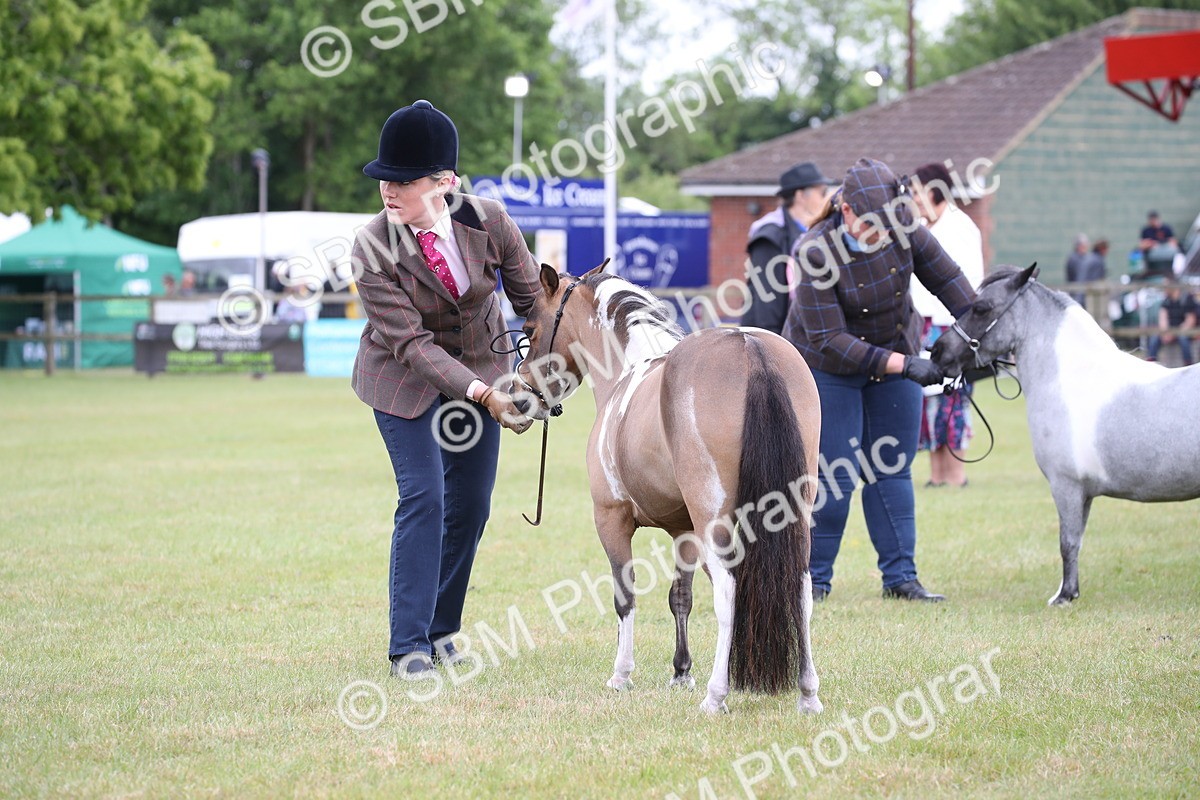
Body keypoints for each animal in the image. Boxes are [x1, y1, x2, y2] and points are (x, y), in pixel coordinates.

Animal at [512, 263, 823, 715]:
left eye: (530, 330)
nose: (520, 399)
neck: (627, 374)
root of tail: (749, 347)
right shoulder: (684, 530)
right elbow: (681, 596)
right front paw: (681, 672)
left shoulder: (611, 518)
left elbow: (625, 596)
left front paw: (621, 674)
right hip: (793, 513)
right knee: (801, 588)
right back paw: (808, 694)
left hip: (716, 522)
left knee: (728, 592)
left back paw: (716, 695)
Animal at [931, 264, 1200, 605]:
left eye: (981, 308)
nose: (937, 352)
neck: (1071, 379)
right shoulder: (1083, 493)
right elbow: (1077, 540)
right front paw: (1067, 591)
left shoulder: (1066, 486)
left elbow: (1068, 542)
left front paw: (1065, 596)